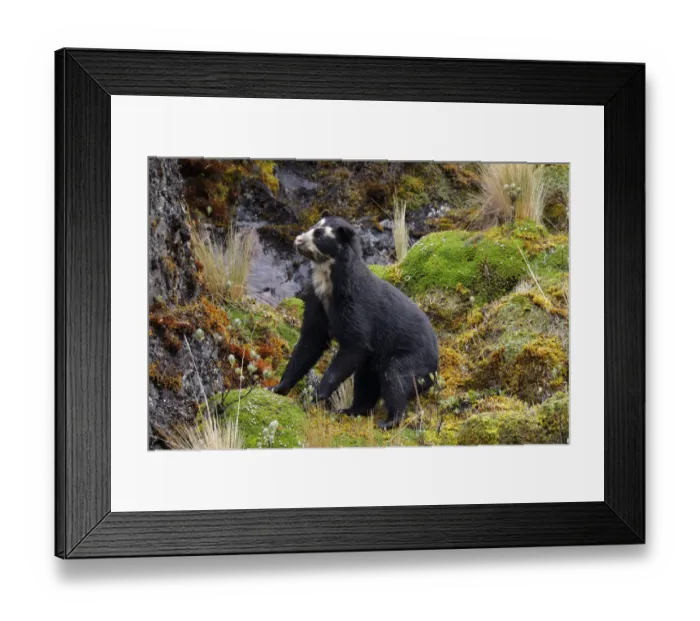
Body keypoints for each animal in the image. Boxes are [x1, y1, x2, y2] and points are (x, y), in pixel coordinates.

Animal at [270, 216, 439, 430]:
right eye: (312, 227)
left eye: (319, 235)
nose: (298, 240)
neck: (330, 282)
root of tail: (436, 361)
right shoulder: (317, 302)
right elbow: (310, 342)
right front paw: (277, 387)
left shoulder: (355, 306)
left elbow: (354, 345)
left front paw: (315, 395)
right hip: (375, 361)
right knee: (366, 382)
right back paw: (349, 411)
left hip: (412, 358)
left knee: (396, 380)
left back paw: (388, 421)